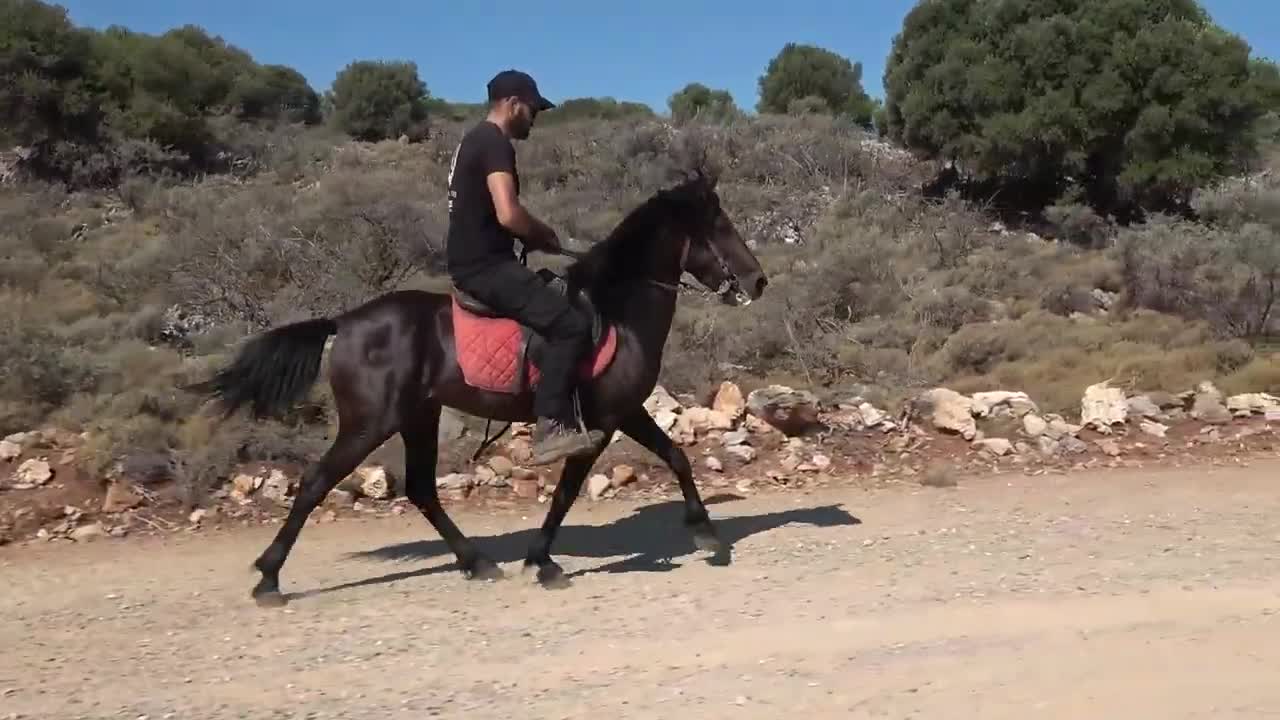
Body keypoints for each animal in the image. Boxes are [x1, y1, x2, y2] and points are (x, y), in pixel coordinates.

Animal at [189, 170, 768, 602]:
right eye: (719, 225)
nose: (758, 281)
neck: (617, 309)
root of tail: (345, 322)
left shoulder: (625, 411)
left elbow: (676, 457)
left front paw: (702, 527)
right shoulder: (601, 422)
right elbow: (569, 491)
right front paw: (543, 560)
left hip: (418, 417)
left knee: (421, 490)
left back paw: (477, 561)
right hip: (370, 422)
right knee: (314, 483)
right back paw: (269, 577)